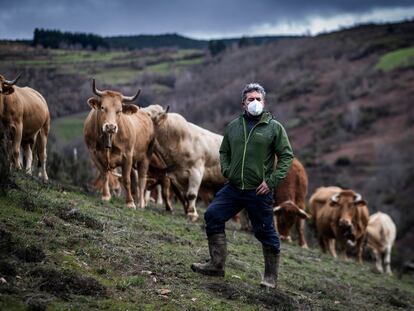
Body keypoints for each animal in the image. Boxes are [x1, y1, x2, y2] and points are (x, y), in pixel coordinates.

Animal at [83, 80, 154, 210]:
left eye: (119, 110)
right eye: (102, 107)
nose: (111, 127)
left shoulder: (127, 156)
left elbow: (126, 180)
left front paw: (130, 203)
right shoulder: (93, 154)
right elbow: (104, 174)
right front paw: (106, 196)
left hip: (145, 157)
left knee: (142, 179)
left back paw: (141, 203)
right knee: (135, 177)